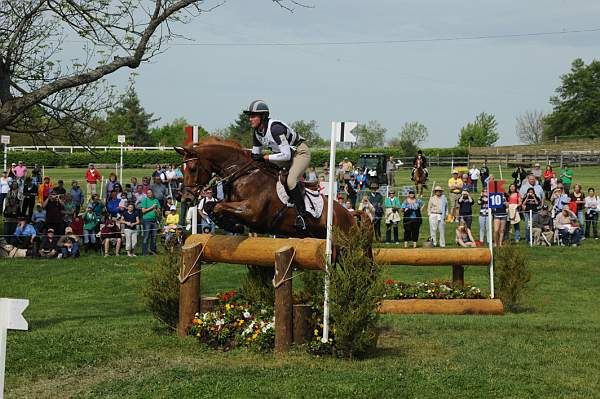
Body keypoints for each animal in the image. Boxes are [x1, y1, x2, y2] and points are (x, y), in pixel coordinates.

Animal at [173, 138, 360, 239]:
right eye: (182, 169)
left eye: (192, 169)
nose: (186, 198)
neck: (244, 175)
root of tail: (349, 214)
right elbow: (209, 206)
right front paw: (233, 226)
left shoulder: (252, 211)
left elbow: (218, 206)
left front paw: (235, 227)